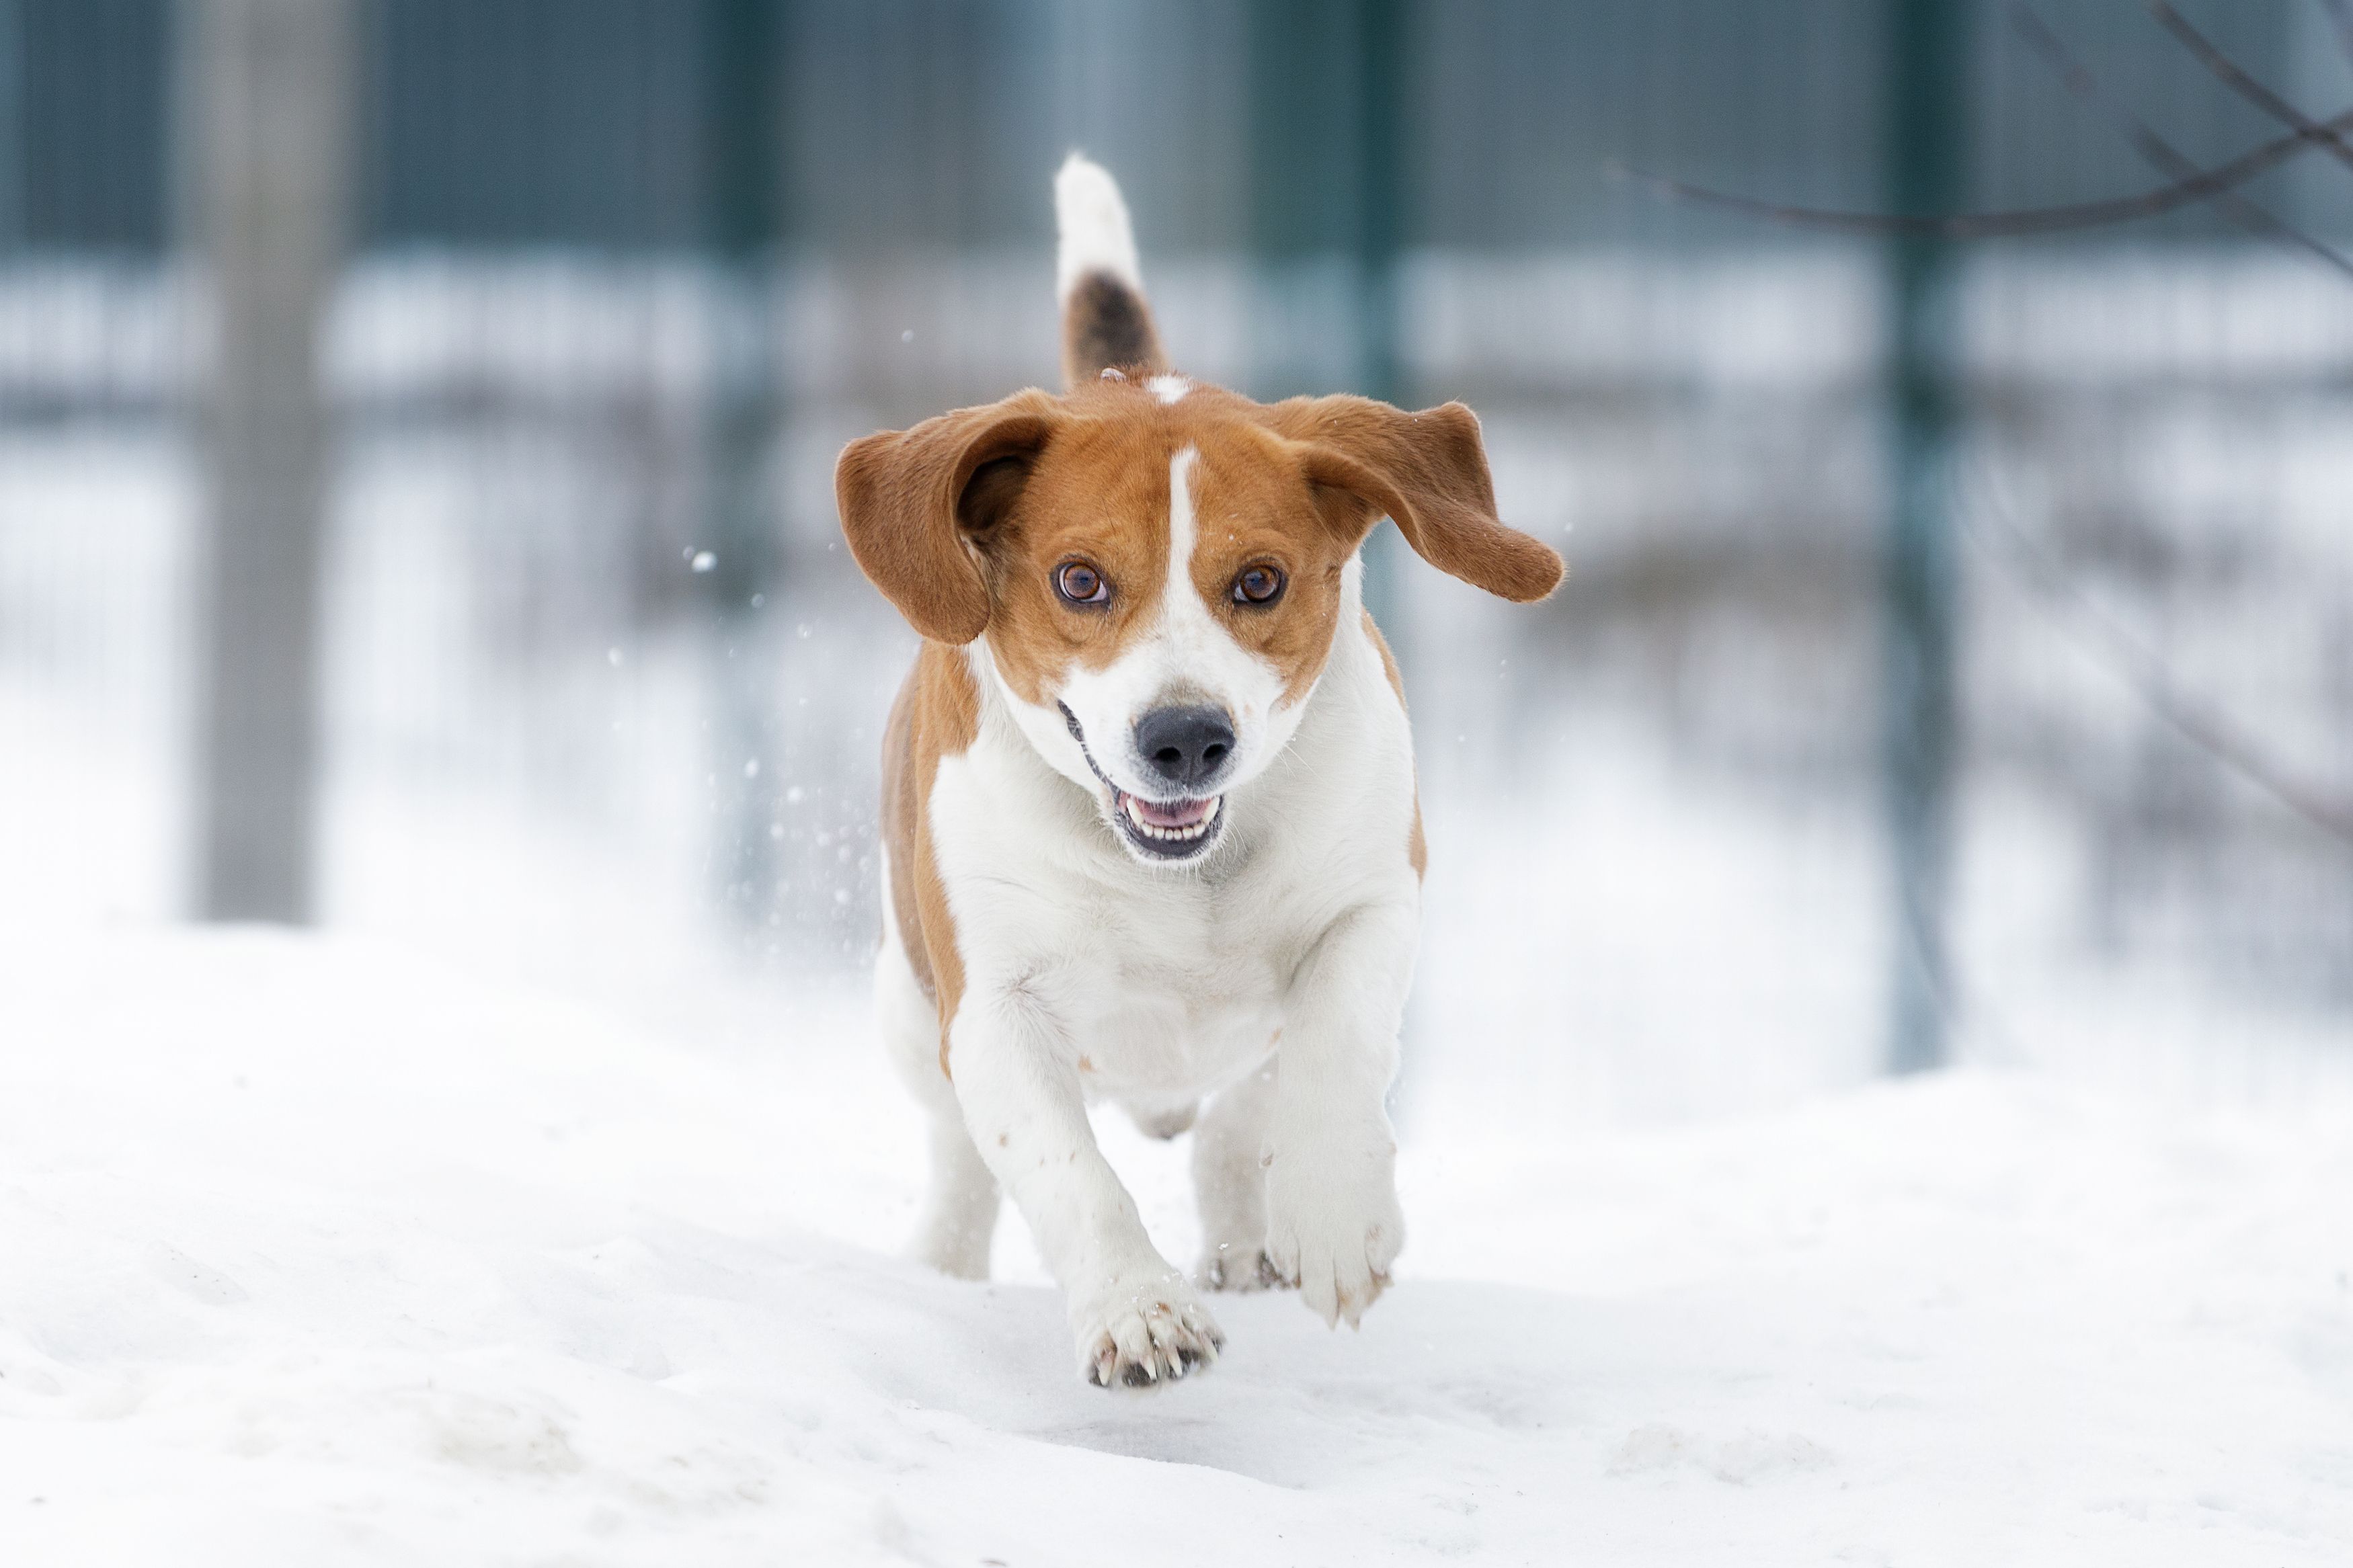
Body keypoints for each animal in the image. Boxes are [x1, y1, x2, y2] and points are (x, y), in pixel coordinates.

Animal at [833, 156, 1562, 1382]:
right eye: (1079, 581)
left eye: (1260, 581)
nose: (1184, 737)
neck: (1181, 874)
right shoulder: (994, 1005)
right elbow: (1064, 1169)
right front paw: (1137, 1308)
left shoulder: (1375, 901)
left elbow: (1330, 1042)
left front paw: (1333, 1217)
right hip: (904, 1009)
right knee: (960, 1152)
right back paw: (946, 1259)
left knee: (1239, 1106)